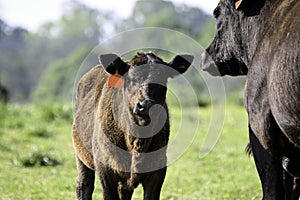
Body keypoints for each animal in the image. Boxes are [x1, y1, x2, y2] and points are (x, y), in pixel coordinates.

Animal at [72, 50, 193, 199]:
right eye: (131, 79)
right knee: (84, 184)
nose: (145, 105)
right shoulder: (104, 167)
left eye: (162, 79)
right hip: (81, 156)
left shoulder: (158, 168)